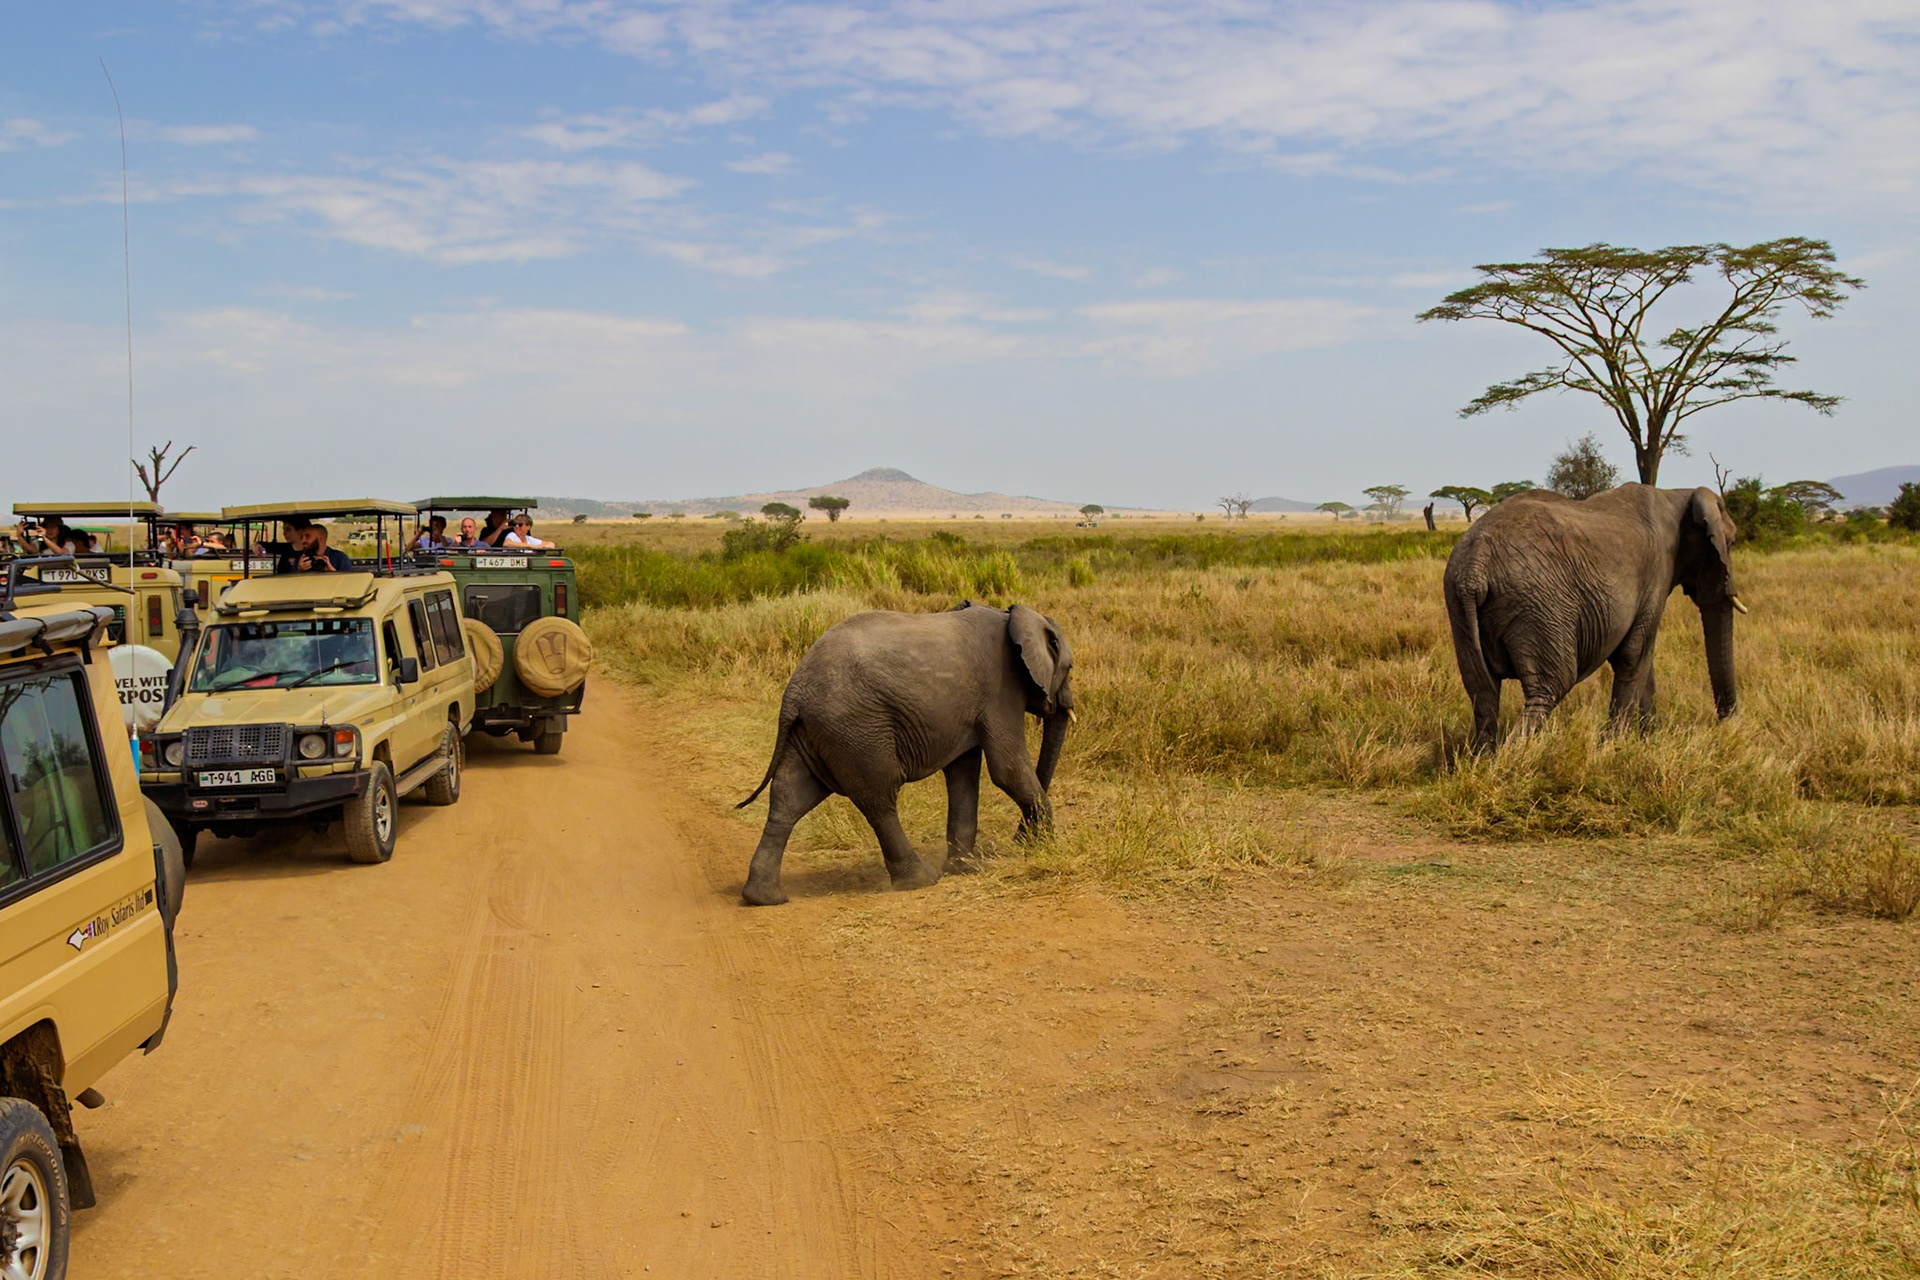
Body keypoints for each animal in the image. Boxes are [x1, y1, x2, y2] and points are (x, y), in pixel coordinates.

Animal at [736, 602, 1074, 906]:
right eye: (1069, 668)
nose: (1020, 839)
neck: (1012, 615)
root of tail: (794, 692)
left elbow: (962, 773)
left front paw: (964, 869)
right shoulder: (1001, 690)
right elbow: (1006, 769)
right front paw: (1046, 849)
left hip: (815, 732)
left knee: (790, 799)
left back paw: (763, 898)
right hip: (857, 729)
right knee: (879, 798)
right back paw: (920, 880)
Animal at [1442, 483, 1746, 753]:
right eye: (1730, 543)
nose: (1727, 725)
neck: (1678, 494)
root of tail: (1475, 565)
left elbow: (1639, 659)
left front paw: (1647, 739)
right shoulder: (1658, 571)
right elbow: (1634, 654)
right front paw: (1614, 747)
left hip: (1460, 606)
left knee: (1483, 693)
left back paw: (1484, 761)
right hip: (1539, 604)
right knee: (1550, 687)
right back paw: (1513, 759)